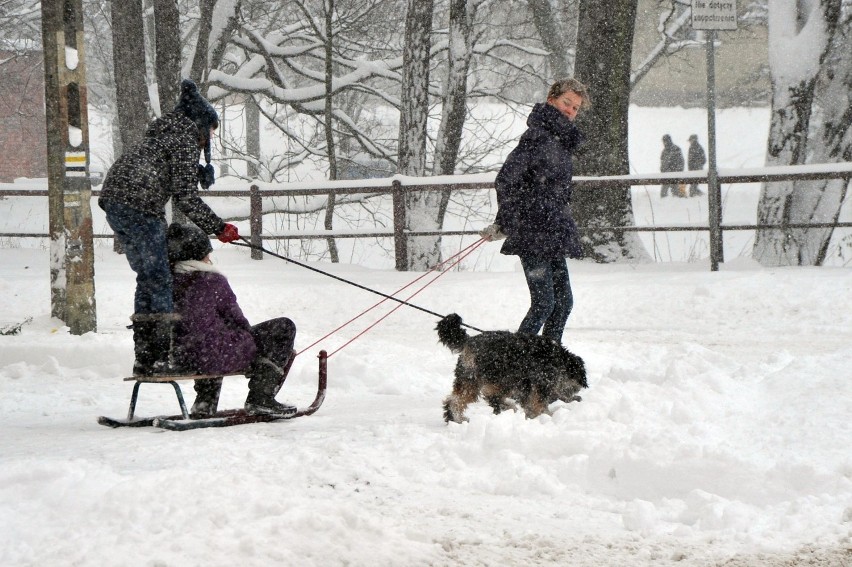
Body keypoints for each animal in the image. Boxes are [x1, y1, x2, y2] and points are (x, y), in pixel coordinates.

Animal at [440, 312, 584, 424]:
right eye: (574, 387)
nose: (575, 397)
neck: (559, 360)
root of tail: (469, 342)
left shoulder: (527, 385)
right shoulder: (540, 382)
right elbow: (538, 402)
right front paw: (546, 417)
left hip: (469, 378)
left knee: (457, 399)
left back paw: (456, 419)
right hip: (501, 375)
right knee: (490, 394)